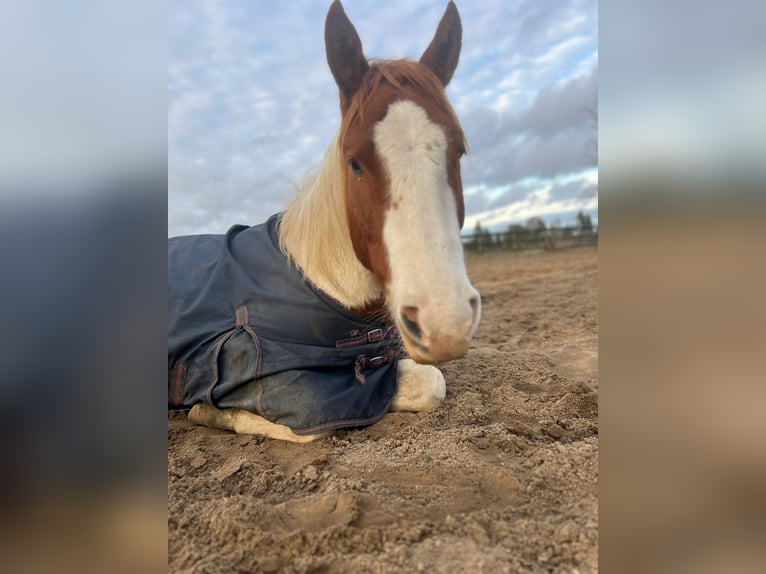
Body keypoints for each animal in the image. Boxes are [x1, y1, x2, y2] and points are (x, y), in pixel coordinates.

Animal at [168, 0, 480, 444]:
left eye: (458, 152)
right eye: (355, 162)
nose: (444, 323)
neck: (320, 284)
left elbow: (429, 380)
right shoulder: (291, 390)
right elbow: (311, 427)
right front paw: (208, 411)